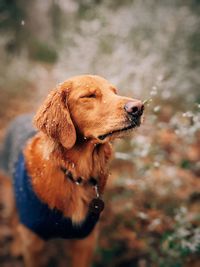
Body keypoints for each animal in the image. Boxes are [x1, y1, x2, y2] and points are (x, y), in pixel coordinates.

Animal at [0, 75, 144, 267]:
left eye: (115, 92)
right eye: (89, 96)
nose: (139, 107)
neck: (74, 174)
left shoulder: (85, 241)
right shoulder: (34, 243)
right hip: (10, 196)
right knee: (13, 219)